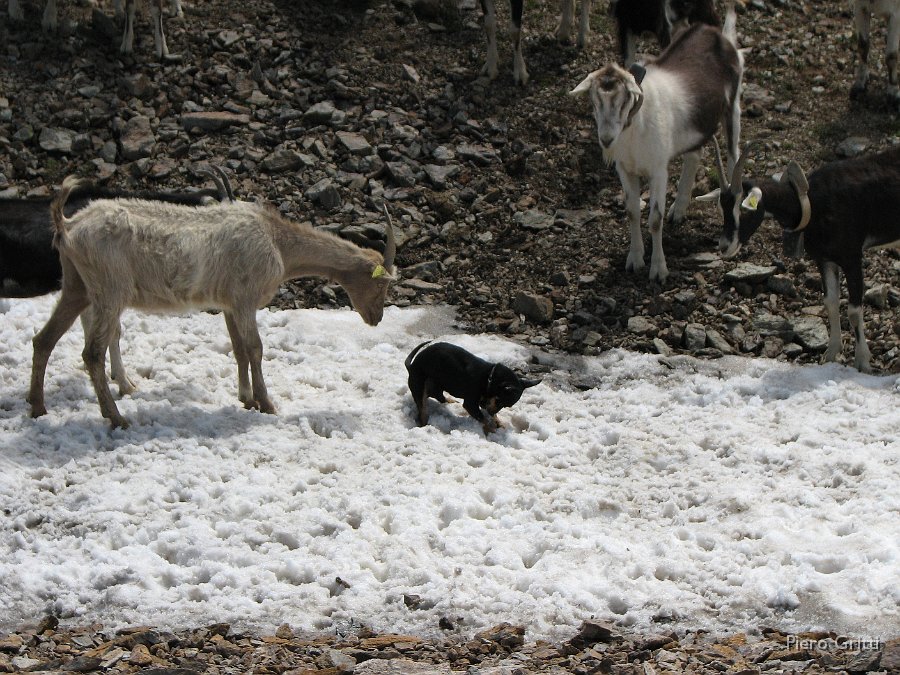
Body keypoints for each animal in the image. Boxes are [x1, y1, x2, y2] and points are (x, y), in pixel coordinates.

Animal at [29, 176, 396, 428]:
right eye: (381, 284)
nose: (376, 318)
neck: (277, 241)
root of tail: (68, 224)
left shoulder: (230, 303)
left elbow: (238, 348)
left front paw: (246, 399)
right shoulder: (246, 299)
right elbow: (256, 348)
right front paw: (267, 403)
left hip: (77, 285)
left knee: (43, 339)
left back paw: (38, 407)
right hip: (109, 288)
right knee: (92, 352)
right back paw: (116, 417)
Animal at [404, 344, 536, 434]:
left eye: (506, 406)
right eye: (499, 401)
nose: (491, 412)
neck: (489, 378)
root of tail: (411, 366)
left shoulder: (484, 401)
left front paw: (498, 422)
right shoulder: (471, 404)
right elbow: (483, 419)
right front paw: (492, 430)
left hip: (437, 384)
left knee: (439, 396)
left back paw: (450, 401)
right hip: (419, 388)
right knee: (423, 410)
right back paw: (423, 425)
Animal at [572, 1, 740, 282]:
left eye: (625, 100)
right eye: (594, 100)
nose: (606, 139)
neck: (635, 131)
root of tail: (716, 34)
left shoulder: (658, 169)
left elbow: (655, 219)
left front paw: (658, 270)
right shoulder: (625, 169)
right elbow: (631, 211)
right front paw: (635, 259)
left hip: (733, 107)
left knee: (733, 153)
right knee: (693, 156)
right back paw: (679, 209)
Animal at [696, 145, 900, 372]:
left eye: (743, 208)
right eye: (721, 208)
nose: (724, 246)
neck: (810, 202)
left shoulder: (852, 257)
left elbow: (854, 312)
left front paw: (863, 362)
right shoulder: (824, 259)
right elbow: (831, 301)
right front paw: (830, 355)